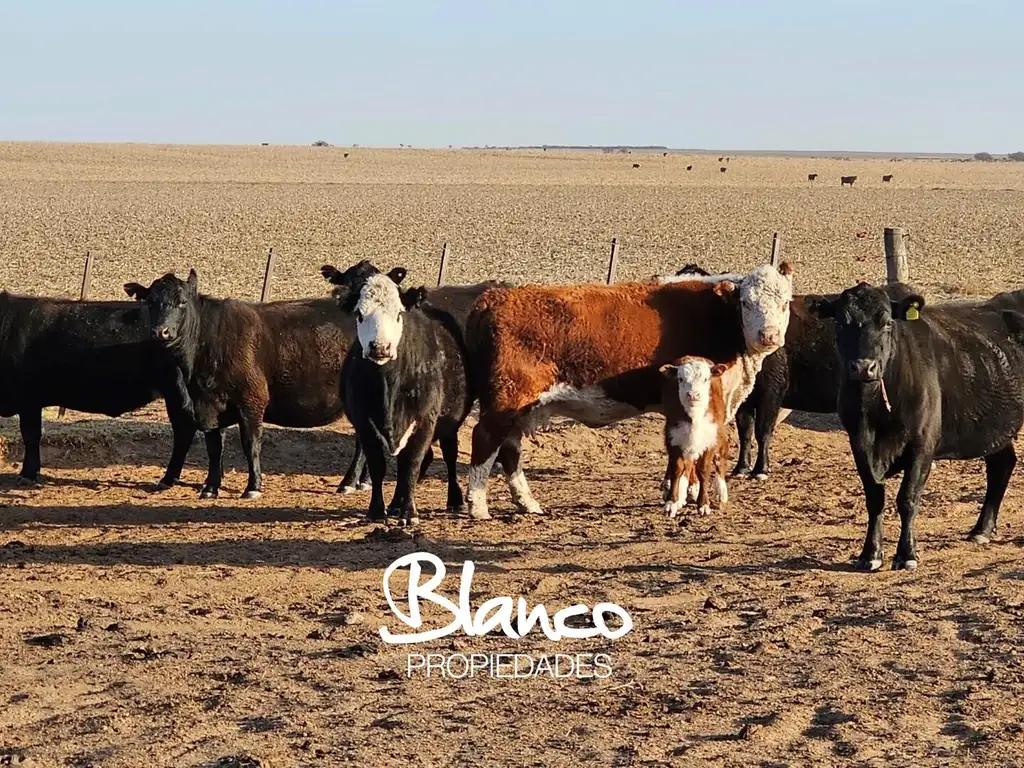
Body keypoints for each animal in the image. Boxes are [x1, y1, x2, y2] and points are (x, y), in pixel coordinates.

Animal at [333, 262, 473, 528]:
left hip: (450, 422)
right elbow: (378, 465)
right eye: (359, 315)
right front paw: (377, 510)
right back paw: (396, 503)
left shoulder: (425, 421)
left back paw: (455, 499)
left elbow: (411, 465)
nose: (380, 347)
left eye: (398, 314)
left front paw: (409, 513)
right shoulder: (365, 424)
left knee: (449, 455)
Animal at [462, 262, 790, 520]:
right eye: (746, 303)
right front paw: (685, 495)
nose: (769, 335)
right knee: (486, 439)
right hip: (506, 400)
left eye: (785, 302)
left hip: (521, 407)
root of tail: (496, 297)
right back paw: (478, 506)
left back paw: (527, 503)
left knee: (509, 449)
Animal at [806, 282, 1024, 573]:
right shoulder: (859, 443)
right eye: (841, 323)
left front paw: (906, 554)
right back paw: (982, 530)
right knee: (1002, 465)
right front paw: (870, 554)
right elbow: (874, 497)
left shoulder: (922, 444)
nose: (864, 367)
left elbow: (907, 498)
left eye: (887, 322)